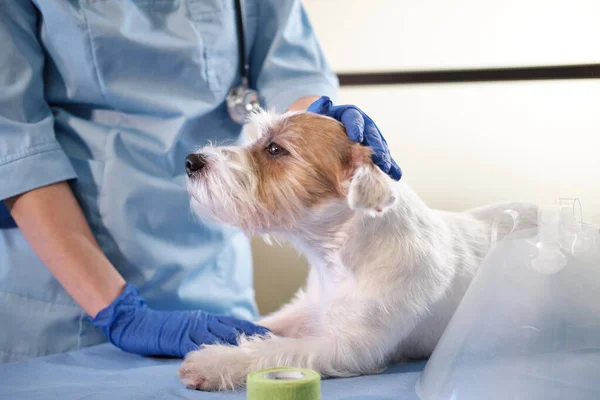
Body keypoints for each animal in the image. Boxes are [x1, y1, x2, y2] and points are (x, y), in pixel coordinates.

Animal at [179, 109, 540, 390]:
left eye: (275, 148)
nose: (191, 160)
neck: (336, 259)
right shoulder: (308, 309)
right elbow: (269, 324)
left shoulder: (344, 348)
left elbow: (274, 350)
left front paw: (214, 362)